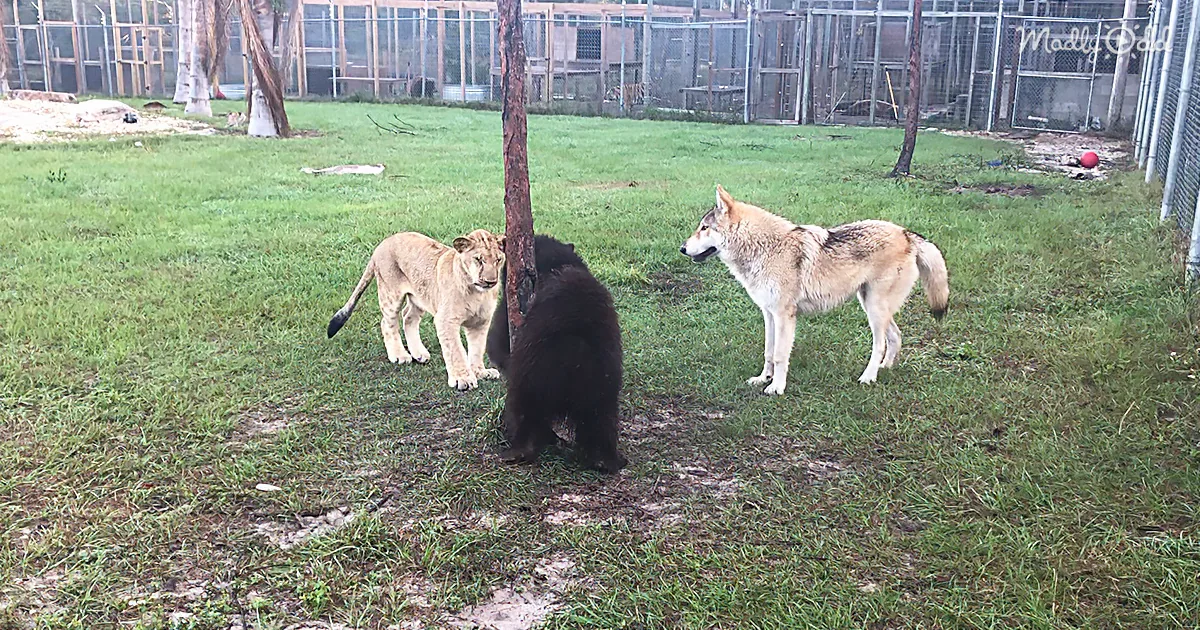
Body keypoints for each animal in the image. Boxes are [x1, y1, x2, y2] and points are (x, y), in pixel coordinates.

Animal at [327, 229, 506, 391]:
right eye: (478, 259)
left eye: (498, 260)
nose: (490, 281)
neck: (477, 293)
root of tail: (382, 243)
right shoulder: (446, 320)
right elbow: (456, 350)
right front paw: (463, 379)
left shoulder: (481, 322)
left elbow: (477, 349)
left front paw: (480, 372)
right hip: (390, 295)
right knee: (387, 323)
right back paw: (399, 355)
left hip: (420, 296)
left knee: (408, 317)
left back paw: (419, 353)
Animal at [681, 185, 949, 395]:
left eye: (704, 228)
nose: (682, 248)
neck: (765, 248)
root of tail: (906, 234)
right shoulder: (768, 314)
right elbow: (768, 352)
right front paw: (762, 379)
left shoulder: (784, 315)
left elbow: (780, 355)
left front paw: (776, 388)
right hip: (872, 306)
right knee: (895, 336)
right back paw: (885, 368)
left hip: (874, 308)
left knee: (880, 344)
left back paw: (868, 377)